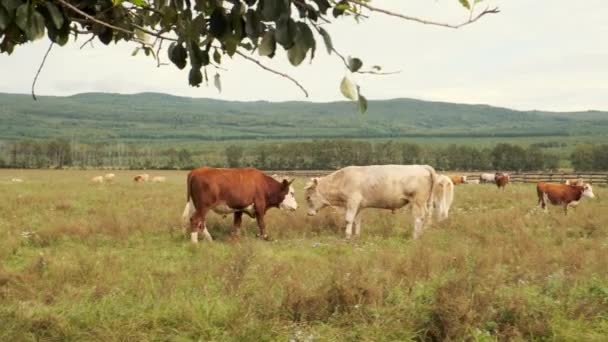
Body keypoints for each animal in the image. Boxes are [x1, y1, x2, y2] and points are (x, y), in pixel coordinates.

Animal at [306, 164, 440, 239]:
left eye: (308, 197)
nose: (309, 213)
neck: (342, 179)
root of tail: (421, 166)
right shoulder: (358, 205)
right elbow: (357, 220)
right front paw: (356, 236)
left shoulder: (352, 202)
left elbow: (349, 219)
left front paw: (347, 236)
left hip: (418, 201)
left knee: (418, 218)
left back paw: (415, 237)